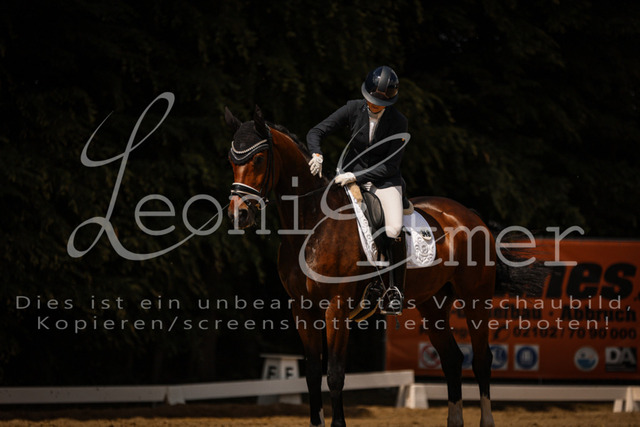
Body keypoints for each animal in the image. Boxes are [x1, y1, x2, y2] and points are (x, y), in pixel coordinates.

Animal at [225, 105, 528, 427]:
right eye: (231, 160)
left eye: (258, 159)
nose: (238, 214)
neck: (310, 226)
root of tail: (469, 215)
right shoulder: (302, 309)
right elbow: (311, 376)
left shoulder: (337, 308)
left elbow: (334, 375)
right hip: (432, 304)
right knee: (452, 359)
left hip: (475, 299)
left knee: (482, 359)